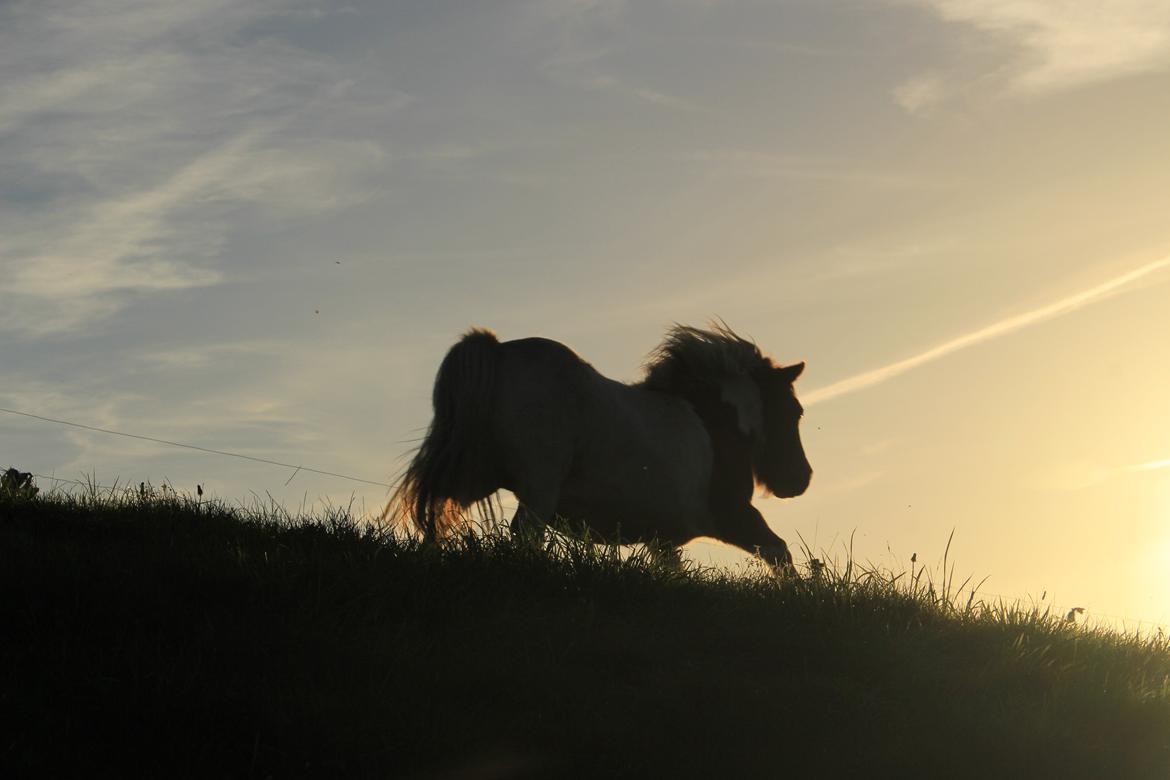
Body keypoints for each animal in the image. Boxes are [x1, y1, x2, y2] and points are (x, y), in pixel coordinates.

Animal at [388, 322, 809, 573]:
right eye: (795, 411)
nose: (801, 479)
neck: (712, 420)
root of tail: (497, 350)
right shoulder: (731, 515)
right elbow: (780, 553)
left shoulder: (664, 537)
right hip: (539, 487)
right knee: (525, 531)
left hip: (472, 474)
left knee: (434, 520)